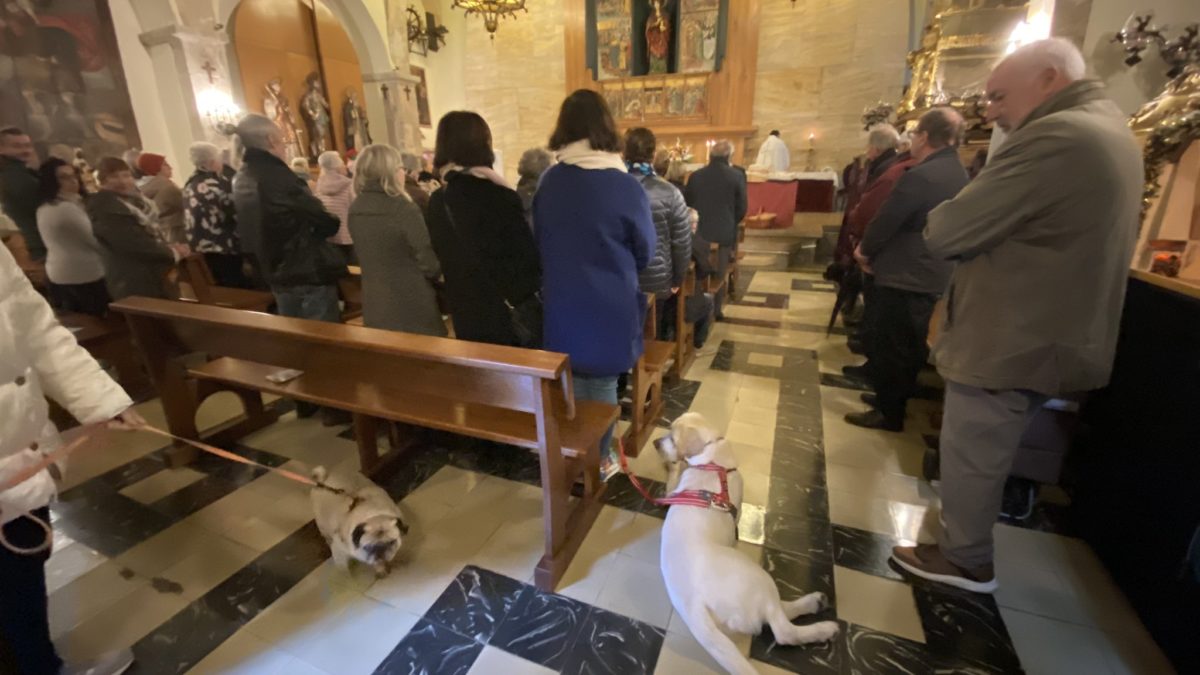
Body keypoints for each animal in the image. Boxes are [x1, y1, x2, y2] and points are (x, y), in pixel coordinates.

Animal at [657, 410, 835, 672]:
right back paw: (821, 622)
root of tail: (695, 608)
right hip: (759, 578)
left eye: (672, 436)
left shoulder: (674, 493)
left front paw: (671, 466)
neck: (711, 462)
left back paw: (816, 604)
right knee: (782, 629)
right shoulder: (738, 508)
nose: (655, 443)